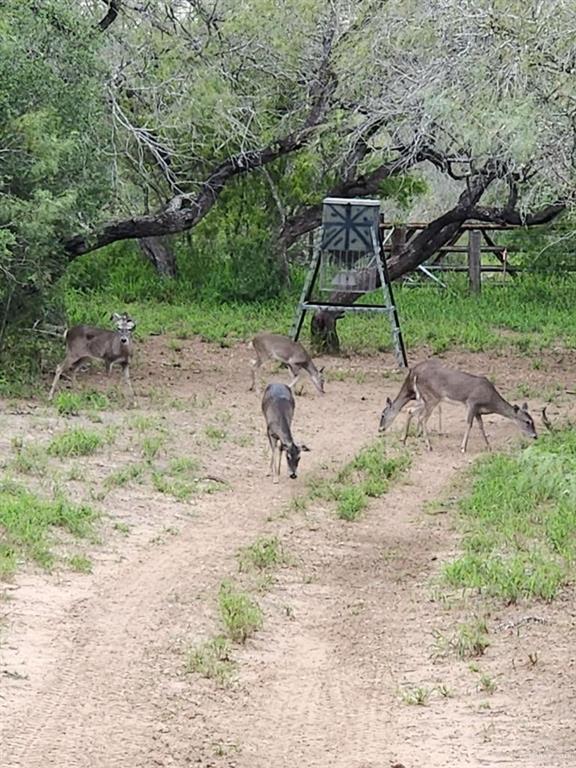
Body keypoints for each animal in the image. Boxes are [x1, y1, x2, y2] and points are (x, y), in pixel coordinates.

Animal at [380, 358, 536, 452]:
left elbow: (481, 426)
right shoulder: (472, 403)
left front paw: (488, 446)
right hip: (432, 398)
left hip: (426, 399)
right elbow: (469, 424)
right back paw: (429, 446)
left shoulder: (478, 410)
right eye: (527, 421)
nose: (535, 436)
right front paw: (463, 447)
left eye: (533, 420)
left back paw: (405, 440)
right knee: (422, 417)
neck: (490, 401)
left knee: (411, 410)